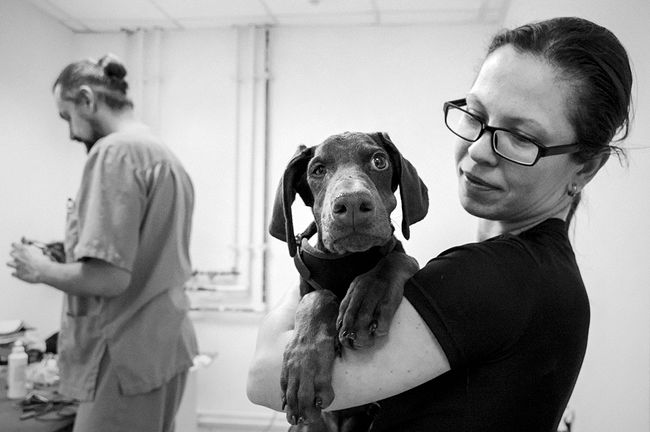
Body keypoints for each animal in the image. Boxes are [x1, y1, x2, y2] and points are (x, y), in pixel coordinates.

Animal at [268, 132, 426, 432]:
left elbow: (396, 259)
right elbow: (317, 298)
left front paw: (365, 303)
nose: (352, 203)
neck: (348, 260)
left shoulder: (398, 254)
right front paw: (303, 368)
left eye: (379, 161)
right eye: (318, 170)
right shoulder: (306, 288)